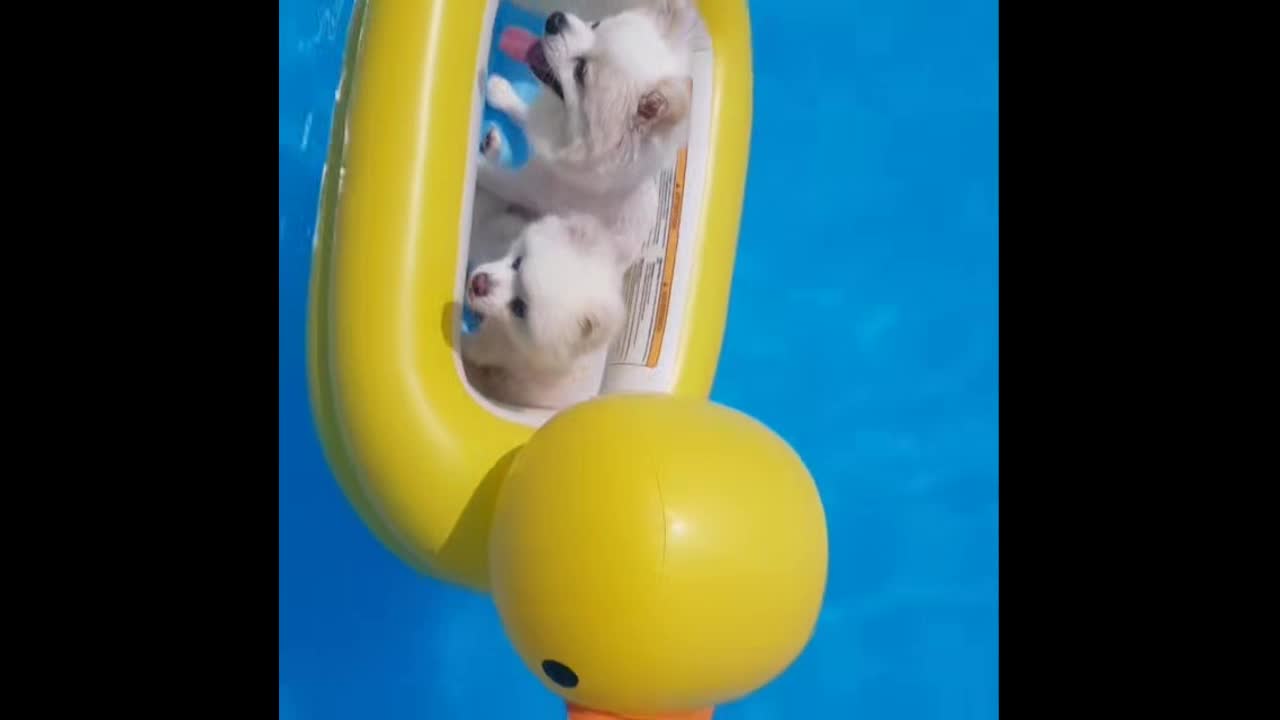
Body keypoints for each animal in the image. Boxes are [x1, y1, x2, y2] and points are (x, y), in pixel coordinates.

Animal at [481, 0, 701, 263]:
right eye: (595, 25)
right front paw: (502, 93)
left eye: (581, 71)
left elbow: (486, 174)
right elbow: (525, 115)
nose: (555, 19)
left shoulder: (521, 185)